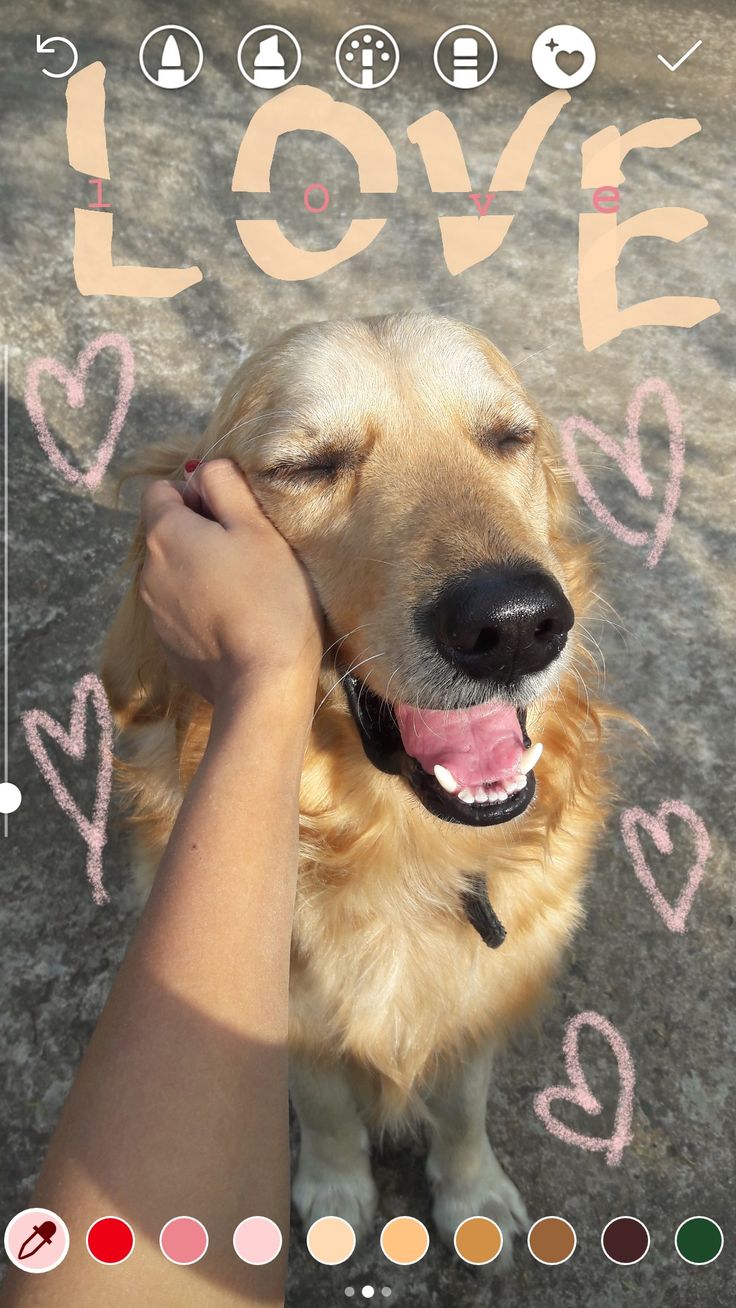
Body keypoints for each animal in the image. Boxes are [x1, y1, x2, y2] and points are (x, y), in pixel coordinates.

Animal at [103, 313, 619, 1266]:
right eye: (310, 465)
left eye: (509, 438)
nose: (515, 624)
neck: (397, 847)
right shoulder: (288, 1005)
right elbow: (325, 1100)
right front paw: (337, 1190)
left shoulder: (484, 978)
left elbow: (462, 1098)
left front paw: (472, 1192)